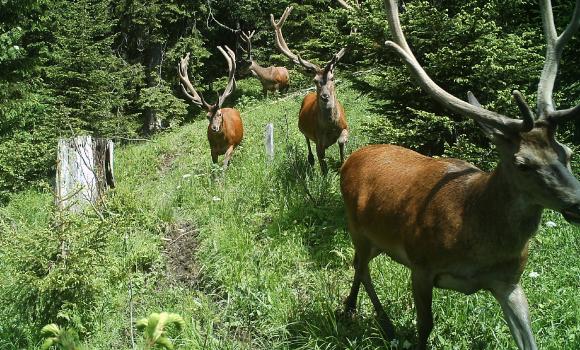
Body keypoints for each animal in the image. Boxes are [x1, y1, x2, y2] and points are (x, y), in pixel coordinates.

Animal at [272, 6, 348, 174]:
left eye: (332, 78)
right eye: (315, 81)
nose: (325, 96)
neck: (330, 127)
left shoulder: (345, 127)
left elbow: (342, 144)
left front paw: (342, 165)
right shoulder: (319, 140)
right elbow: (323, 166)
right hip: (302, 128)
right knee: (307, 141)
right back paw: (310, 159)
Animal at [340, 0, 580, 350]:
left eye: (569, 154)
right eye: (523, 163)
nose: (577, 203)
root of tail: (351, 158)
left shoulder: (509, 281)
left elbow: (529, 338)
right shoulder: (421, 264)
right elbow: (425, 327)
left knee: (360, 265)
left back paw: (353, 309)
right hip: (357, 228)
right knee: (361, 266)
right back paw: (381, 321)